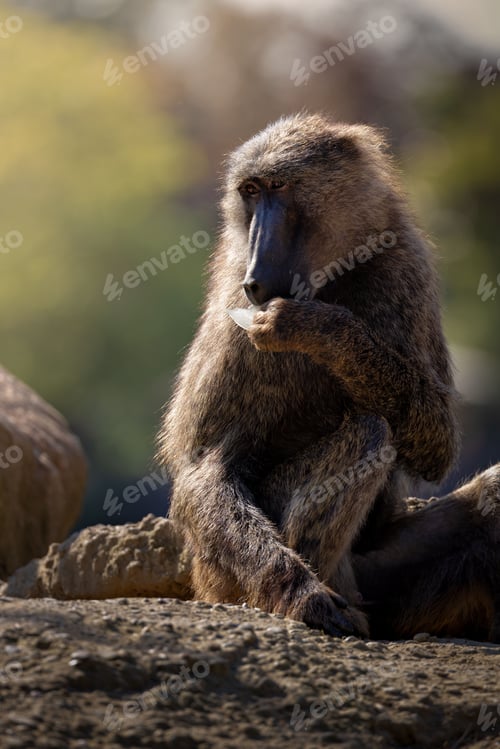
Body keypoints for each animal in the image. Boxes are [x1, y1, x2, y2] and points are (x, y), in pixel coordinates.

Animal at [158, 112, 500, 640]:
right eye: (250, 191)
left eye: (279, 186)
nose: (256, 279)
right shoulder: (233, 309)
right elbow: (204, 465)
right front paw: (301, 593)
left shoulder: (407, 269)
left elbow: (438, 443)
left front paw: (315, 327)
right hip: (221, 577)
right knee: (369, 432)